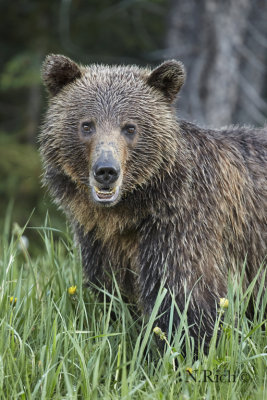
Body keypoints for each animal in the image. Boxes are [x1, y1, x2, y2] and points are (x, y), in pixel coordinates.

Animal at [40, 53, 267, 354]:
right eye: (86, 125)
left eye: (130, 127)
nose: (106, 170)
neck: (131, 211)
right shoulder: (100, 241)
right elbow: (113, 295)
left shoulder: (182, 228)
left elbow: (187, 302)